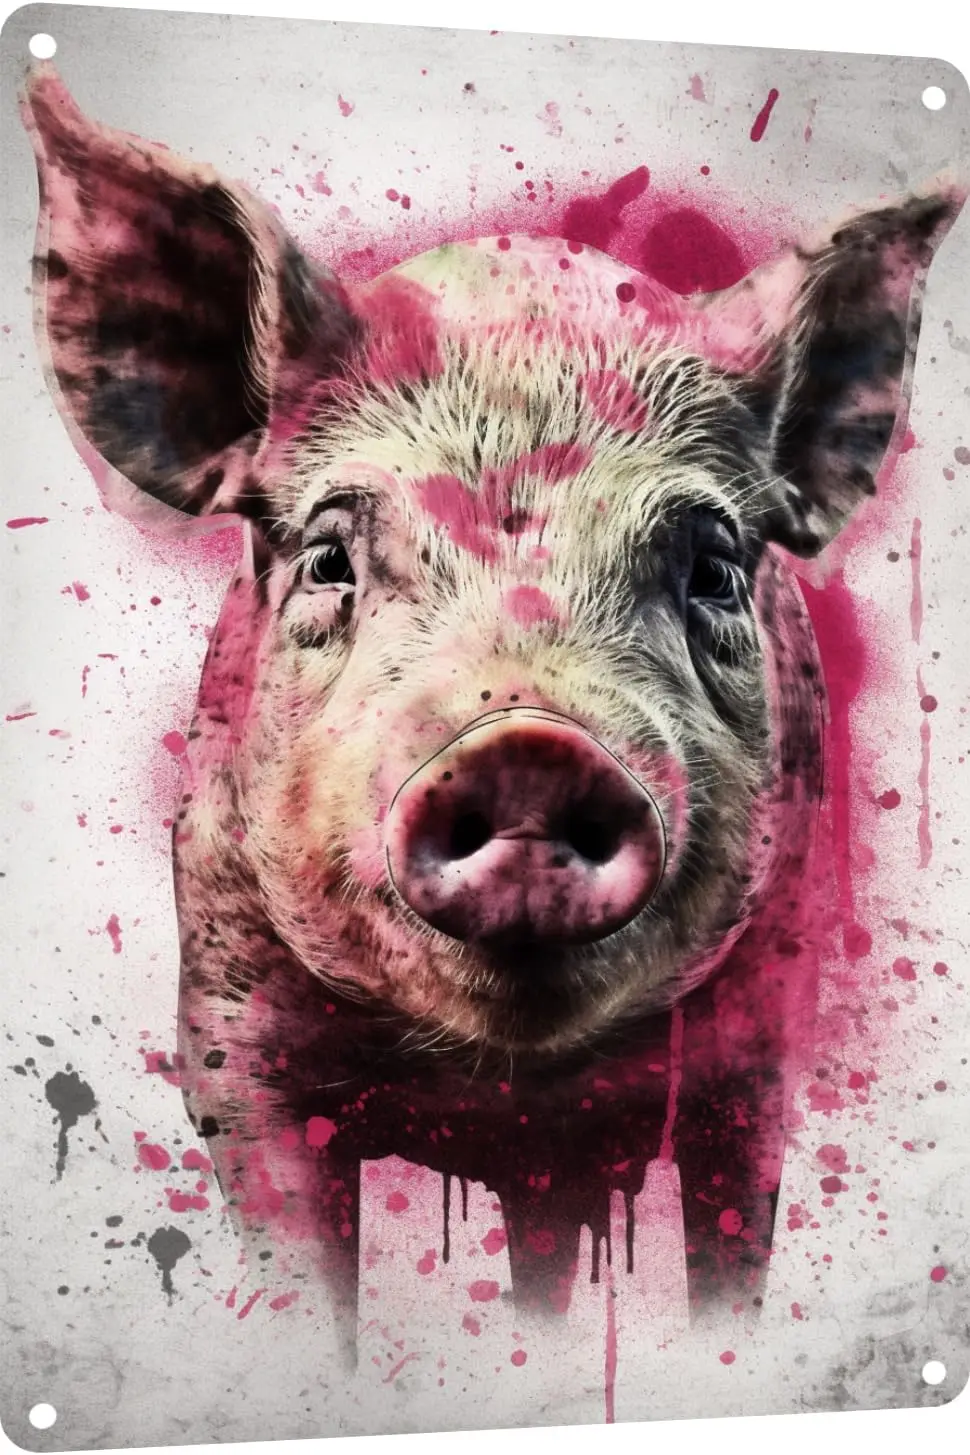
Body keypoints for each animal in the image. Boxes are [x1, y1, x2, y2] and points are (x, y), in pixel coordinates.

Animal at [24, 66, 963, 1348]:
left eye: (715, 568)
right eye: (328, 559)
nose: (526, 746)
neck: (500, 1085)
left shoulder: (760, 1042)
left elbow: (730, 1255)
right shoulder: (227, 1027)